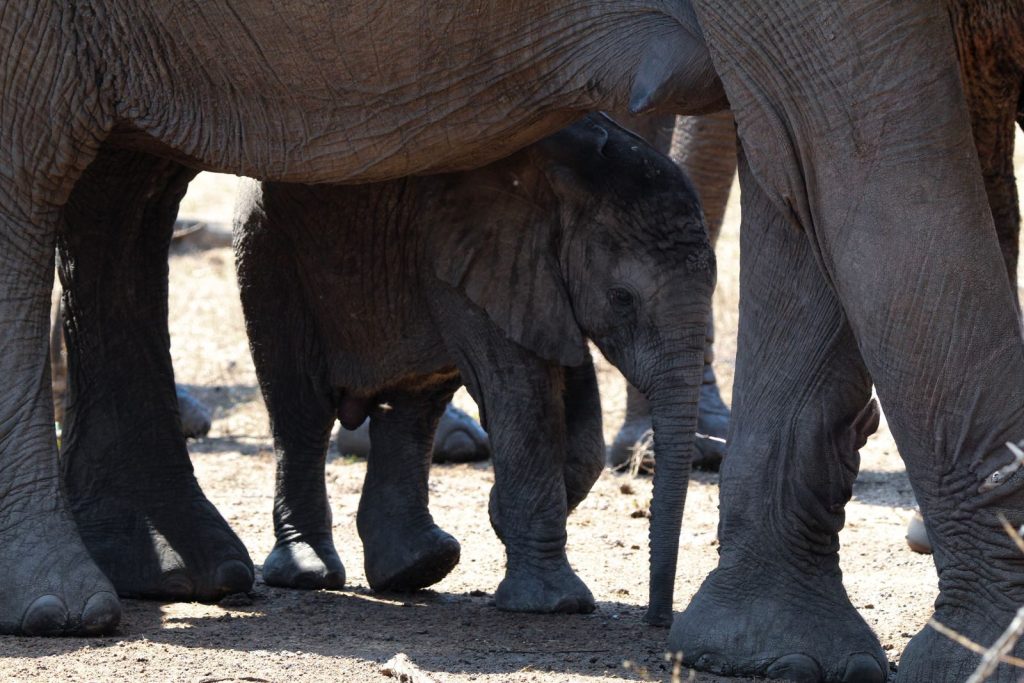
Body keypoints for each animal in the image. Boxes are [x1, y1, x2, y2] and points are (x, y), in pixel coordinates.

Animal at [233, 114, 714, 622]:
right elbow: (522, 394)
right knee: (302, 409)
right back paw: (310, 573)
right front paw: (556, 604)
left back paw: (418, 568)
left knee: (412, 406)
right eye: (622, 298)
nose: (658, 620)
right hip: (269, 252)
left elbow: (573, 401)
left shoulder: (529, 277)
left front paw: (502, 514)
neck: (569, 181)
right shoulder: (487, 254)